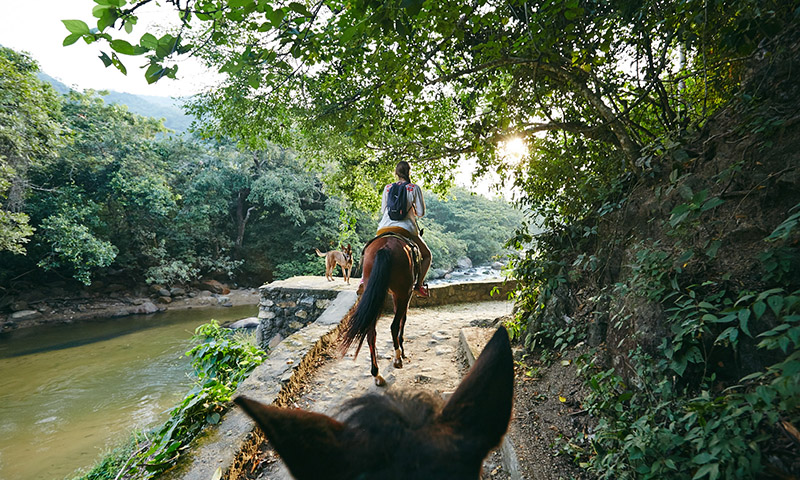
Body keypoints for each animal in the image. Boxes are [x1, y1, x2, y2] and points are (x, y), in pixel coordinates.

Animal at [340, 235, 416, 386]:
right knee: (393, 326)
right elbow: (403, 318)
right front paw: (402, 348)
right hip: (402, 291)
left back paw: (376, 374)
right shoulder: (405, 294)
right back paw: (397, 358)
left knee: (371, 334)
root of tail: (385, 247)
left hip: (375, 292)